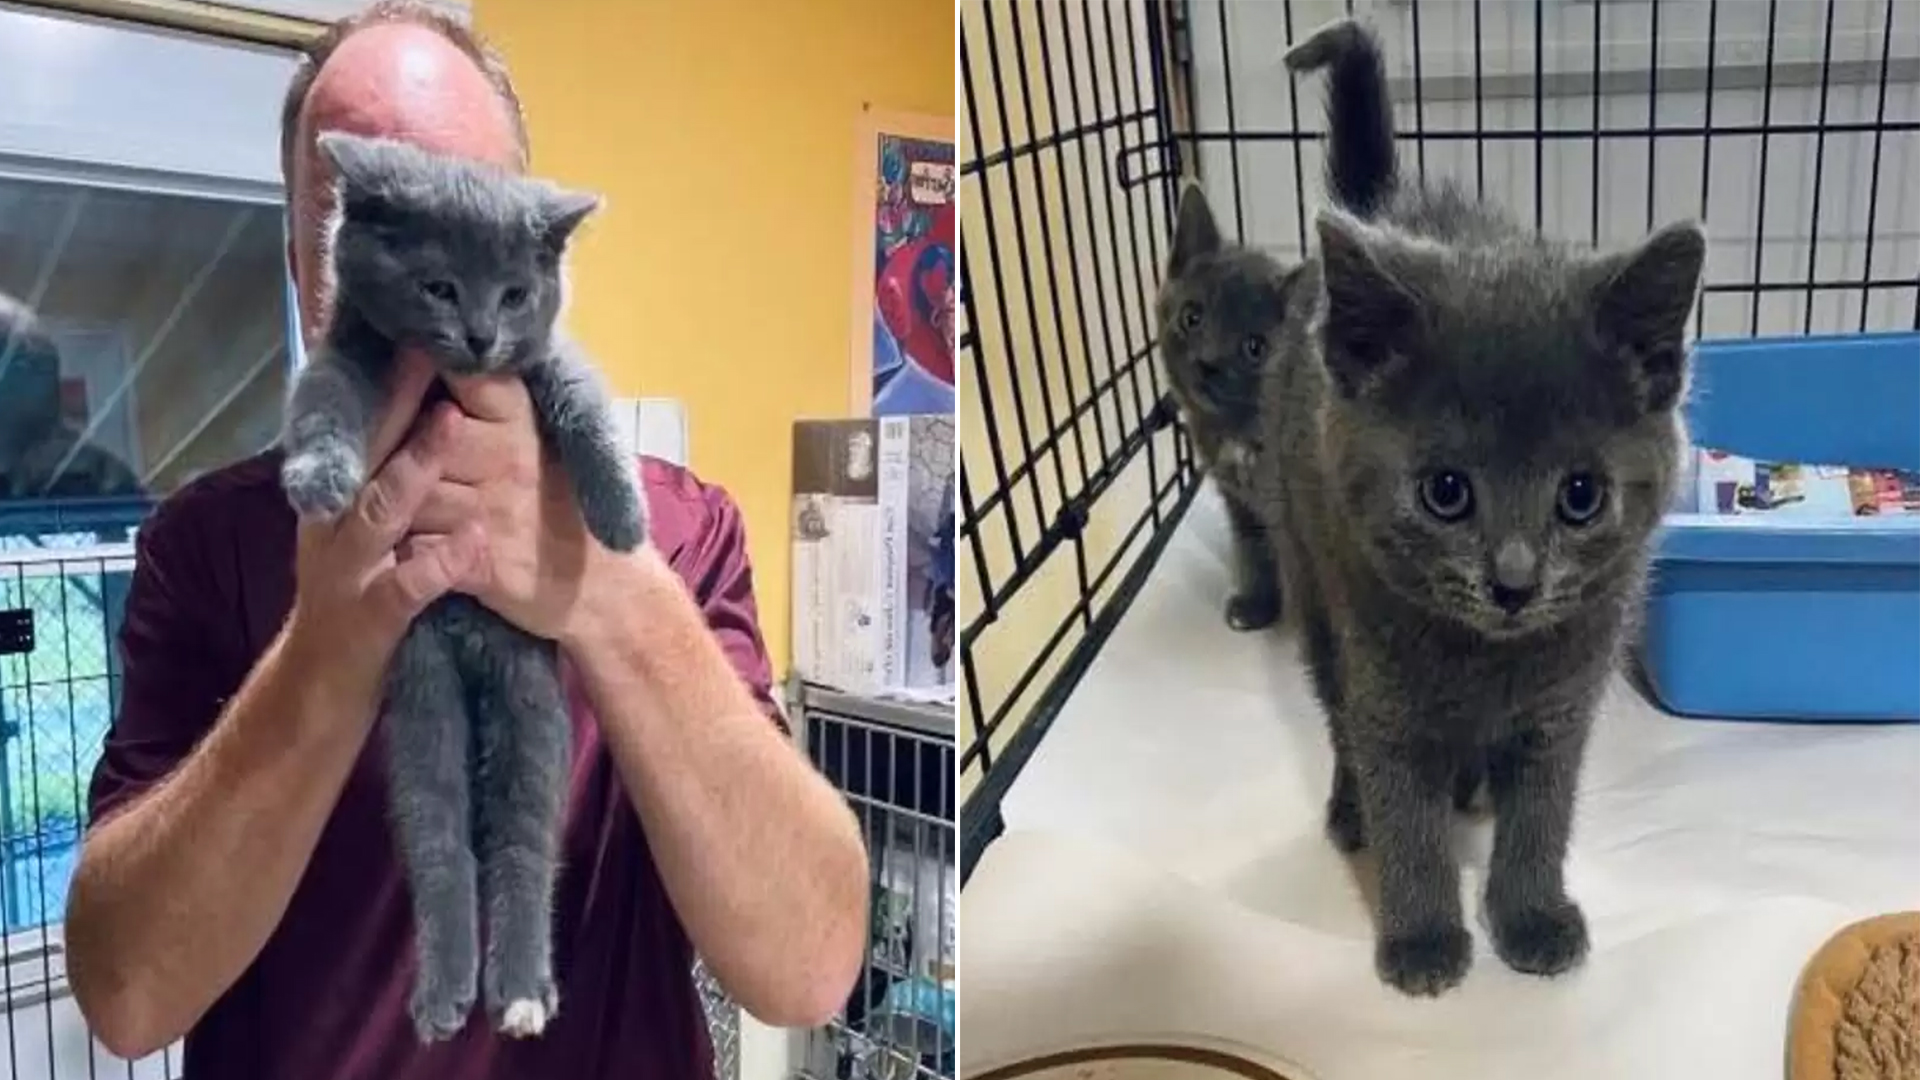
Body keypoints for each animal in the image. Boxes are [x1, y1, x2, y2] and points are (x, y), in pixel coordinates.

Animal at [278, 130, 648, 1037]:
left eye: (516, 294)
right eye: (439, 286)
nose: (480, 336)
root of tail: (470, 641)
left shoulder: (545, 358)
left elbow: (586, 402)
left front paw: (623, 516)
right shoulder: (352, 347)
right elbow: (324, 397)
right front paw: (318, 478)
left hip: (532, 703)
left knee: (523, 842)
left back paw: (518, 990)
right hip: (419, 700)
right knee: (439, 838)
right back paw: (450, 993)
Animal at [1152, 184, 1305, 626]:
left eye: (1255, 347)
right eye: (1192, 317)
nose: (1208, 363)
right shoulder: (1239, 504)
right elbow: (1253, 554)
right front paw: (1256, 606)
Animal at [1267, 16, 1704, 991]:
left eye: (1580, 495)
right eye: (1446, 492)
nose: (1513, 581)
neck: (1489, 664)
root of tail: (1385, 209)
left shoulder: (1566, 703)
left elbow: (1542, 815)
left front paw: (1533, 918)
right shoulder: (1383, 684)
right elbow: (1406, 815)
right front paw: (1424, 939)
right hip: (1311, 583)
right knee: (1334, 712)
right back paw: (1350, 810)